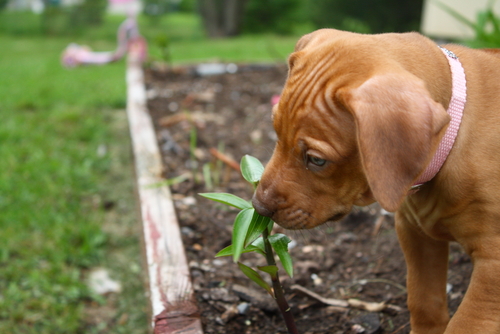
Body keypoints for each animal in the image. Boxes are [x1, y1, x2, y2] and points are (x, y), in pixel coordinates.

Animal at [254, 28, 500, 334]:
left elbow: (467, 323)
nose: (258, 207)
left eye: (317, 160)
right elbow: (424, 301)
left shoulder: (493, 263)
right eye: (276, 133)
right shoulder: (415, 233)